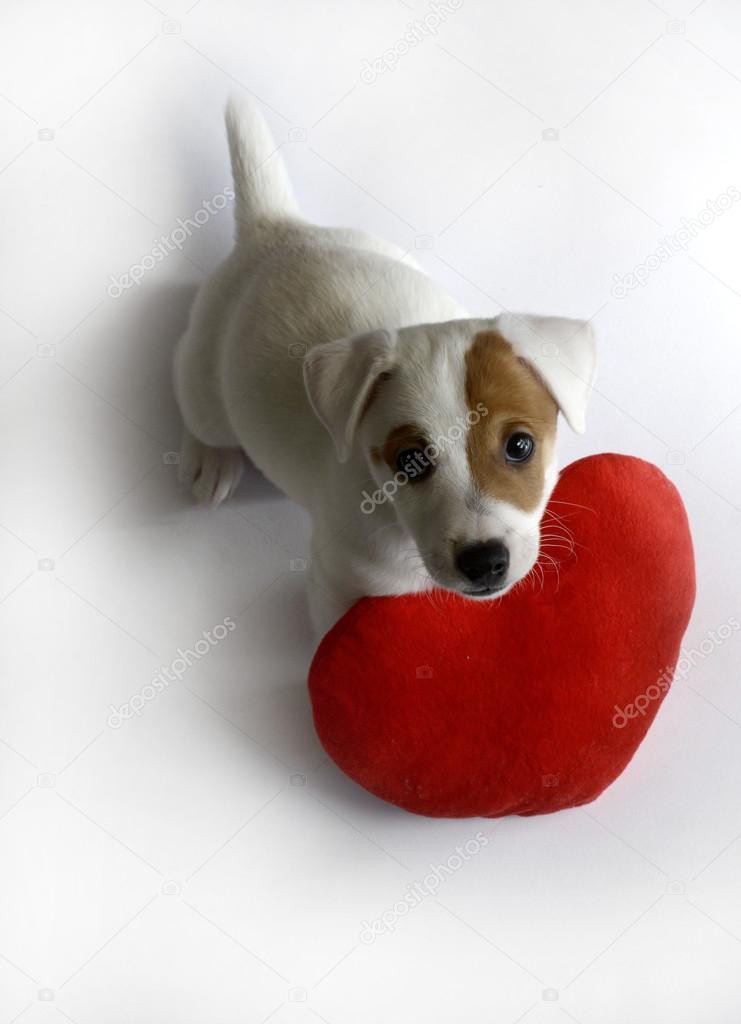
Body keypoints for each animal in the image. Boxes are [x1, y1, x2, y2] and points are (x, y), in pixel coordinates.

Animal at [173, 99, 597, 634]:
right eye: (410, 461)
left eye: (520, 446)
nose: (483, 562)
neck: (395, 523)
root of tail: (275, 227)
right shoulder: (337, 587)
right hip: (207, 383)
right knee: (190, 390)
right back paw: (210, 457)